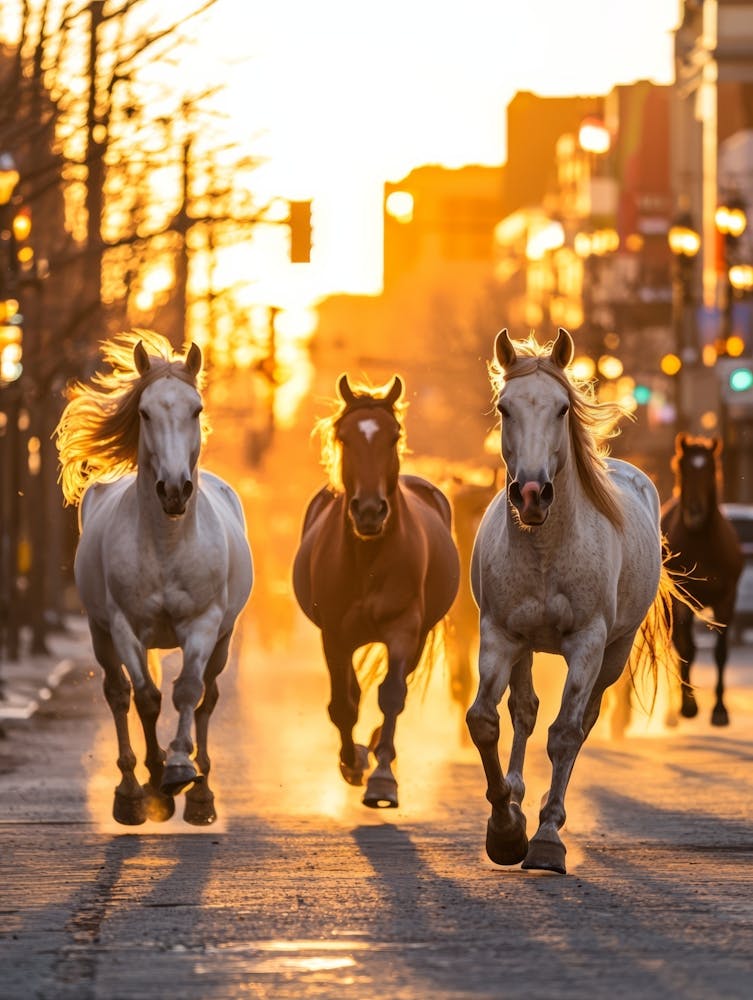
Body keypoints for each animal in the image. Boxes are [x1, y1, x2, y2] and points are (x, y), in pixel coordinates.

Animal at [55, 330, 253, 826]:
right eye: (144, 412)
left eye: (196, 409)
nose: (175, 490)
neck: (167, 543)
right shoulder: (124, 625)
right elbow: (146, 697)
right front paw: (154, 780)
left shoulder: (204, 624)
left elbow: (188, 692)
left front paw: (181, 768)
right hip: (102, 633)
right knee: (119, 693)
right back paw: (133, 788)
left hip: (223, 640)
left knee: (208, 698)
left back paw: (201, 792)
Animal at [292, 374, 460, 808]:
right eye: (344, 436)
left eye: (393, 435)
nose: (369, 511)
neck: (368, 558)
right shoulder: (334, 636)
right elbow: (343, 704)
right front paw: (352, 763)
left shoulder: (404, 630)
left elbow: (392, 696)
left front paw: (382, 778)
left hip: (419, 636)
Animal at [467, 328, 676, 875]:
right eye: (505, 407)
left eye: (562, 408)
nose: (532, 493)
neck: (546, 549)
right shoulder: (499, 634)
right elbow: (486, 720)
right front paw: (505, 829)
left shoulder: (588, 643)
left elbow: (564, 733)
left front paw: (545, 839)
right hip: (523, 647)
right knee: (523, 710)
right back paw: (518, 796)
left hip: (615, 653)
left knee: (582, 724)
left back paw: (549, 812)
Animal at [661, 433, 743, 726]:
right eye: (683, 469)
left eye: (709, 469)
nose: (694, 514)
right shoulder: (682, 601)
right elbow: (687, 650)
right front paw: (689, 706)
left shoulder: (727, 599)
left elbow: (721, 652)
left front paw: (719, 710)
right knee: (677, 645)